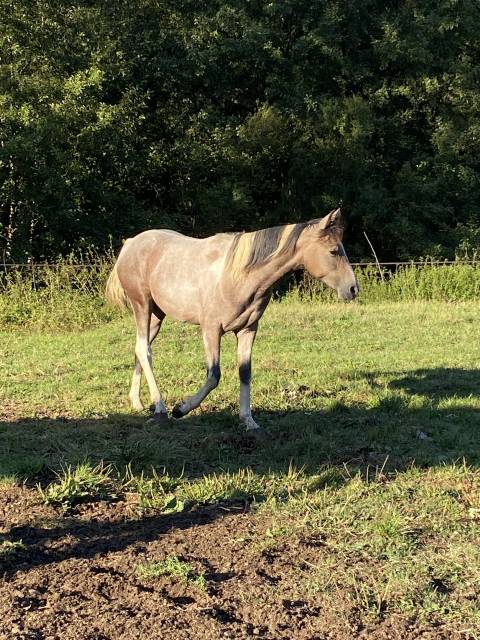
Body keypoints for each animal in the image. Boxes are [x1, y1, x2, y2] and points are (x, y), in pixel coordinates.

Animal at [106, 209, 360, 430]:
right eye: (333, 251)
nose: (353, 289)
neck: (240, 275)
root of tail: (131, 243)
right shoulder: (211, 329)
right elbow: (214, 375)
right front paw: (181, 408)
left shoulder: (248, 330)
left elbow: (245, 373)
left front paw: (248, 420)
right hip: (142, 305)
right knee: (144, 349)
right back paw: (161, 408)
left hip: (156, 315)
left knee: (140, 349)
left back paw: (137, 402)